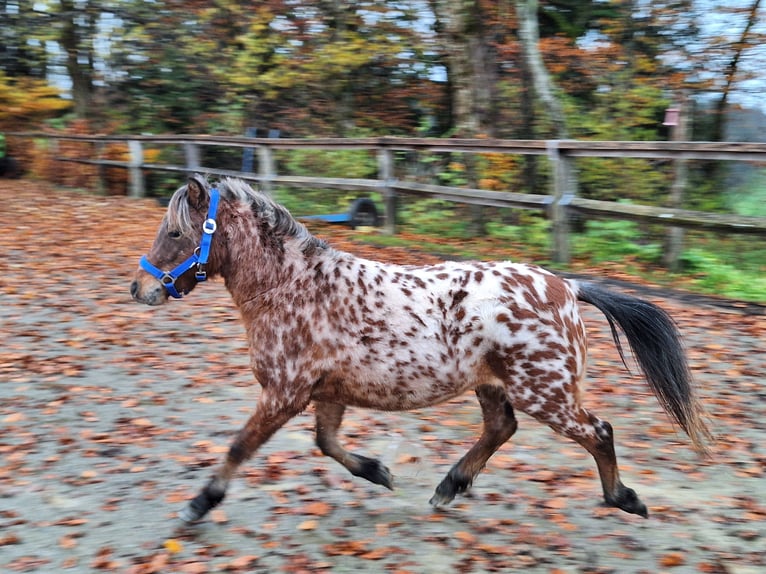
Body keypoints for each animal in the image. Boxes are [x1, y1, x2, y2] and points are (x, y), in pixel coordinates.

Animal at [132, 177, 712, 528]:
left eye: (177, 232)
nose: (140, 288)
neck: (295, 288)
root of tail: (567, 287)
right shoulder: (325, 392)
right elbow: (327, 444)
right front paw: (379, 472)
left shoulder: (284, 393)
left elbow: (239, 447)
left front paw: (199, 503)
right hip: (494, 385)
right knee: (501, 429)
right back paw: (448, 487)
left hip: (545, 392)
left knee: (598, 432)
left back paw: (624, 499)